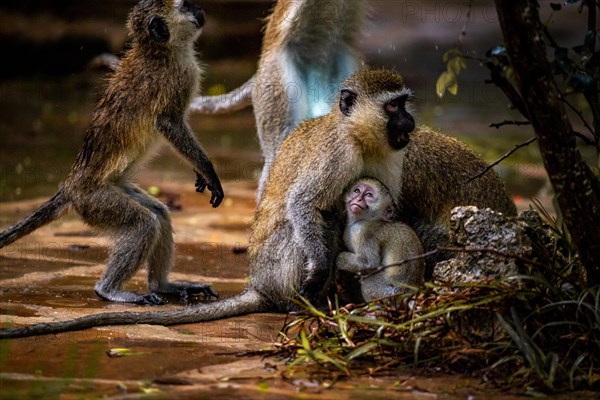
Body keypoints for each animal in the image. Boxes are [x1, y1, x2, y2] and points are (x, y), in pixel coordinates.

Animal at [0, 0, 224, 304]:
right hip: (96, 202)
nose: (200, 10)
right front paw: (209, 171)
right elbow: (170, 124)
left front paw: (200, 173)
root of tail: (72, 186)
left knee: (159, 214)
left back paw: (162, 286)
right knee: (143, 224)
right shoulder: (178, 78)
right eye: (187, 5)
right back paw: (108, 290)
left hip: (112, 190)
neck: (160, 51)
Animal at [0, 69, 516, 338]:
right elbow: (305, 205)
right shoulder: (337, 155)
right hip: (280, 268)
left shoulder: (394, 162)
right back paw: (307, 297)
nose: (409, 120)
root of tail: (260, 284)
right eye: (394, 106)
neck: (361, 138)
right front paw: (321, 267)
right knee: (306, 226)